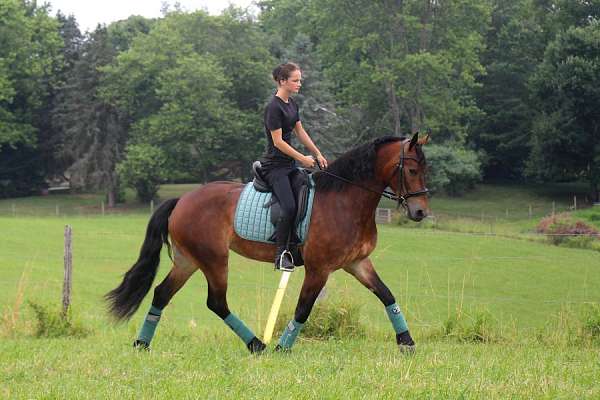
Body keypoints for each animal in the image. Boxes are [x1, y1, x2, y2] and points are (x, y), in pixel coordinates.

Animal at [105, 133, 428, 352]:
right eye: (412, 170)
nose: (420, 212)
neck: (345, 199)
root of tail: (182, 200)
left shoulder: (358, 263)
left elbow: (387, 295)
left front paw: (407, 342)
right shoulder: (319, 269)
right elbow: (303, 309)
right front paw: (283, 347)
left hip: (188, 260)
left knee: (162, 293)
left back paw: (142, 344)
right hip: (214, 260)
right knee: (216, 302)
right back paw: (257, 345)